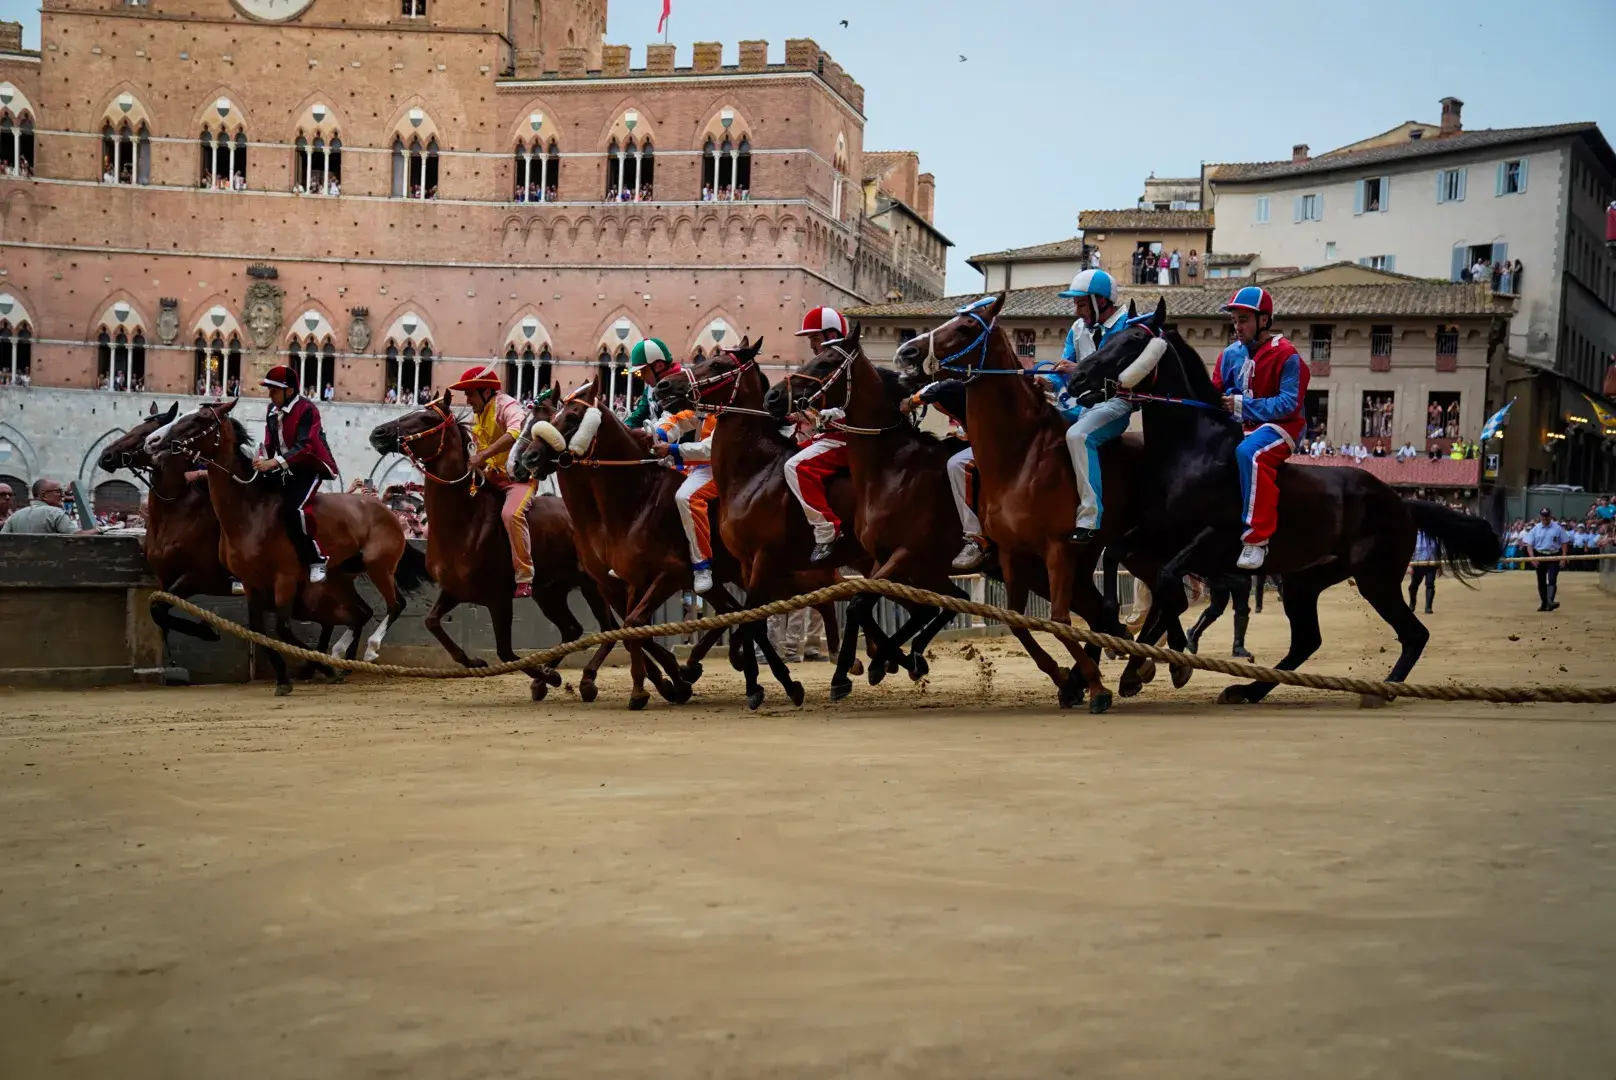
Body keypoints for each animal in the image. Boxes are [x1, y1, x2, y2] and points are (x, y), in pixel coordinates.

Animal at [96, 404, 420, 675]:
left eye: (142, 433)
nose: (105, 457)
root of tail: (384, 511)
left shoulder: (200, 575)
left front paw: (207, 631)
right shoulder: (166, 577)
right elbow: (159, 613)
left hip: (375, 567)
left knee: (390, 605)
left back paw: (356, 654)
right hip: (337, 578)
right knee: (356, 613)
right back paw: (337, 659)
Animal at [370, 392, 614, 704]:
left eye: (427, 418)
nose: (379, 433)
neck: (466, 521)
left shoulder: (499, 599)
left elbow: (506, 652)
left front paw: (549, 677)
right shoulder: (454, 590)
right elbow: (431, 622)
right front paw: (474, 661)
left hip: (592, 585)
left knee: (609, 629)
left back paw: (585, 680)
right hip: (549, 592)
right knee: (572, 628)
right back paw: (547, 676)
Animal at [517, 379, 801, 708]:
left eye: (573, 417)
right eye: (551, 418)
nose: (529, 458)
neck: (635, 501)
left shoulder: (670, 574)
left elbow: (634, 625)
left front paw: (660, 684)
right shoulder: (620, 581)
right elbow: (633, 629)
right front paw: (663, 682)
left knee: (748, 612)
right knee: (738, 611)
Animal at [1066, 299, 1493, 704]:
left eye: (1133, 341)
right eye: (1111, 337)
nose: (1076, 377)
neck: (1192, 450)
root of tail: (1401, 503)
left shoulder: (1211, 540)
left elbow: (1169, 582)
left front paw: (1169, 659)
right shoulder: (1159, 532)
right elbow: (1117, 556)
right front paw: (1124, 640)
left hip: (1377, 579)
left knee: (1414, 634)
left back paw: (1383, 689)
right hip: (1305, 582)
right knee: (1307, 641)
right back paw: (1247, 690)